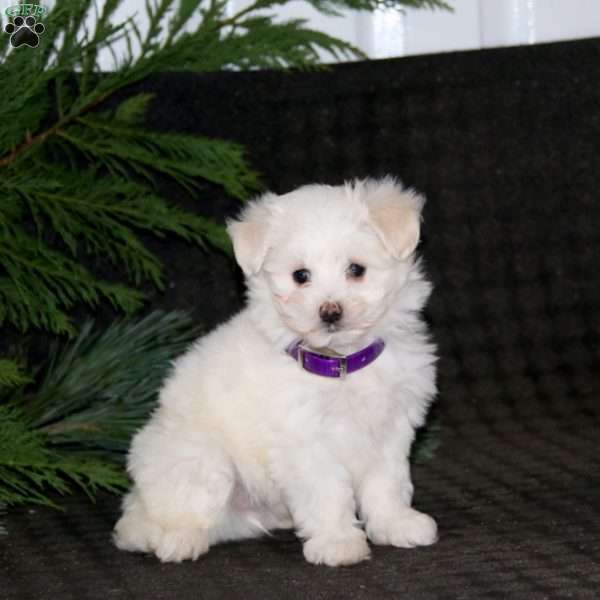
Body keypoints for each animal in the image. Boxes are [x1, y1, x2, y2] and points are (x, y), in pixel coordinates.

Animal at [113, 178, 436, 568]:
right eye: (300, 276)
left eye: (356, 269)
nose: (330, 311)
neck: (339, 363)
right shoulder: (306, 441)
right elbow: (327, 492)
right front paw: (338, 542)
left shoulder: (390, 429)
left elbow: (387, 483)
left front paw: (397, 524)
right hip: (200, 461)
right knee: (179, 512)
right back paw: (178, 540)